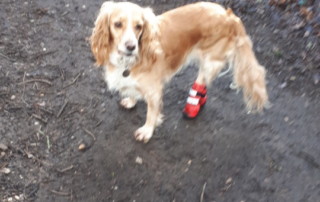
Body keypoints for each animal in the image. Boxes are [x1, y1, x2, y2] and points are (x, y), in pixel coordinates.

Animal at [89, 0, 268, 143]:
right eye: (117, 24)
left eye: (139, 26)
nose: (131, 47)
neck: (128, 61)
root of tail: (229, 15)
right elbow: (132, 90)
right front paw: (131, 101)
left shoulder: (154, 91)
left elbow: (151, 113)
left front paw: (147, 131)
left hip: (210, 62)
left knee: (201, 82)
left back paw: (193, 105)